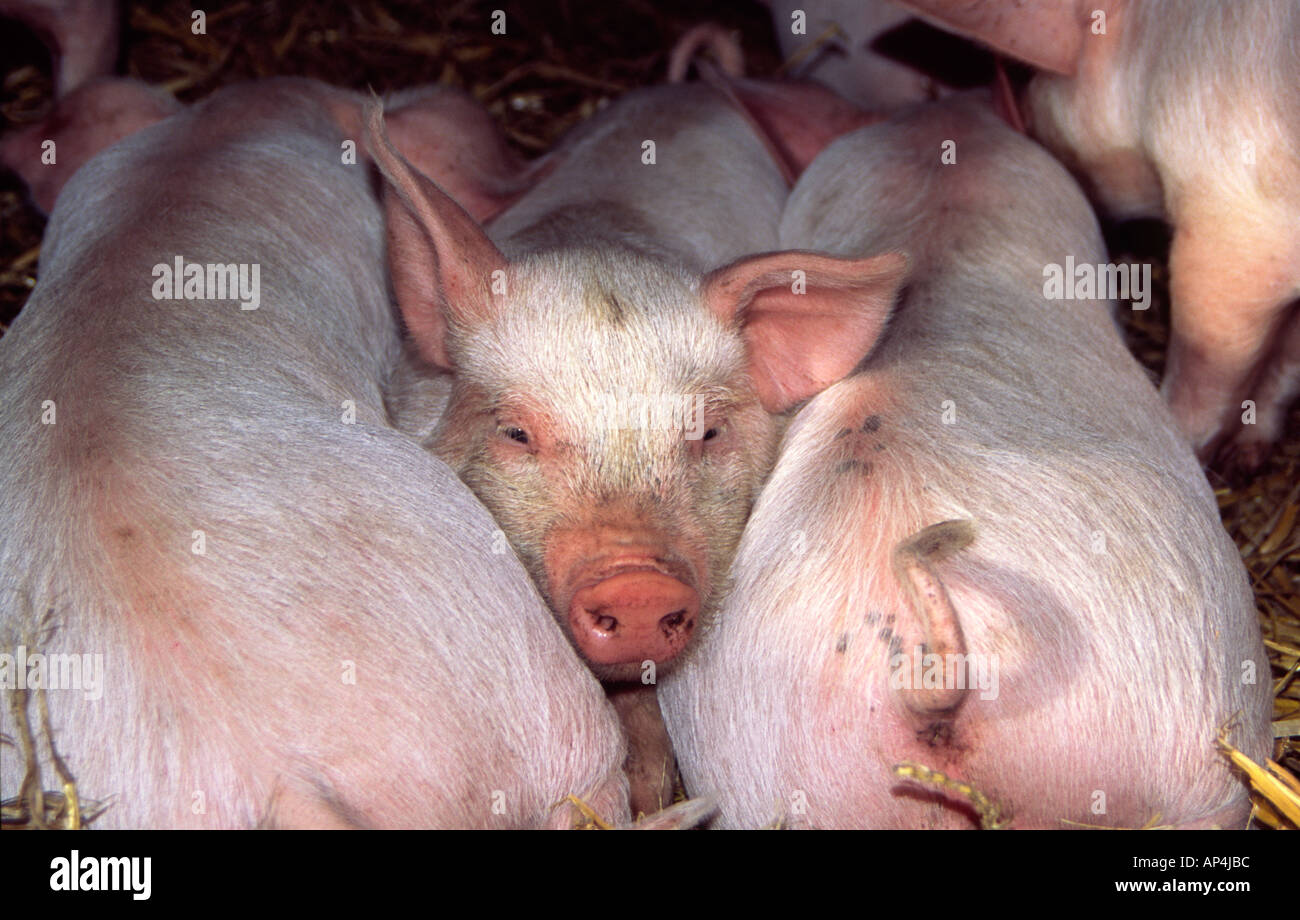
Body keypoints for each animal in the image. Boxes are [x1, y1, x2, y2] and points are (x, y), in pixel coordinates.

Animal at [894, 0, 1300, 475]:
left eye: (1033, 81)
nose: (1016, 113)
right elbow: (1287, 358)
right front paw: (1245, 458)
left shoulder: (1234, 222)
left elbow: (1206, 368)